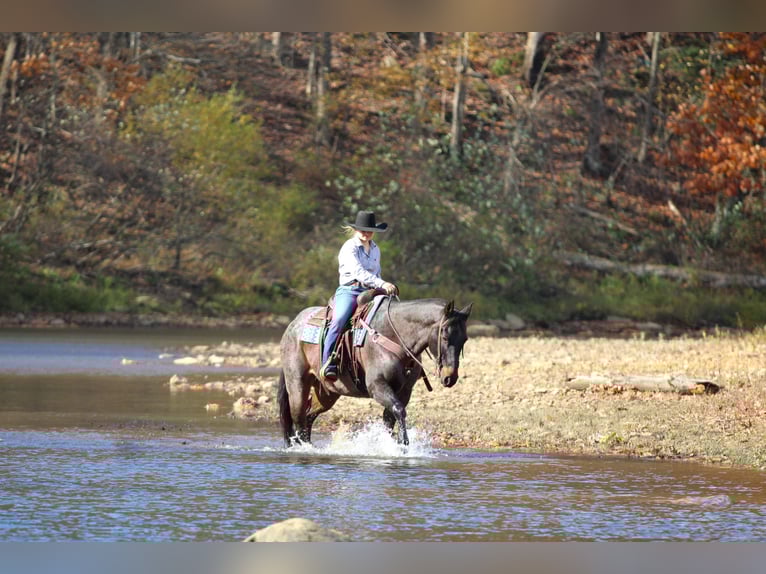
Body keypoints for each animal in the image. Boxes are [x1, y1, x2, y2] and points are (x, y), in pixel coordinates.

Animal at [277, 296, 472, 447]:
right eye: (445, 336)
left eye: (464, 339)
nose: (450, 377)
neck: (392, 337)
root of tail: (293, 324)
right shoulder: (377, 386)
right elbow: (399, 410)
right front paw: (403, 444)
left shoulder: (404, 391)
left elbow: (390, 418)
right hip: (297, 385)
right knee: (298, 417)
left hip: (327, 392)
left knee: (309, 416)